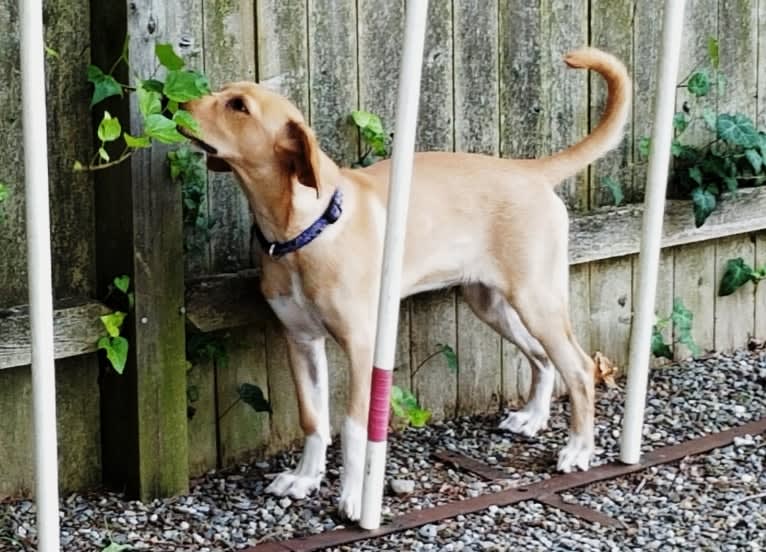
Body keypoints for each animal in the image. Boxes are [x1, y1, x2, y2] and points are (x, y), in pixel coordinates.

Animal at [184, 48, 632, 520]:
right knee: (543, 358)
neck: (306, 228)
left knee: (578, 367)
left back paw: (578, 450)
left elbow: (353, 426)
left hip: (536, 299)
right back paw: (532, 417)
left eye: (239, 106)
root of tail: (530, 171)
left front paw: (353, 498)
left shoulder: (363, 346)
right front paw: (305, 479)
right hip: (491, 302)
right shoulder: (301, 341)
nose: (174, 104)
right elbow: (313, 418)